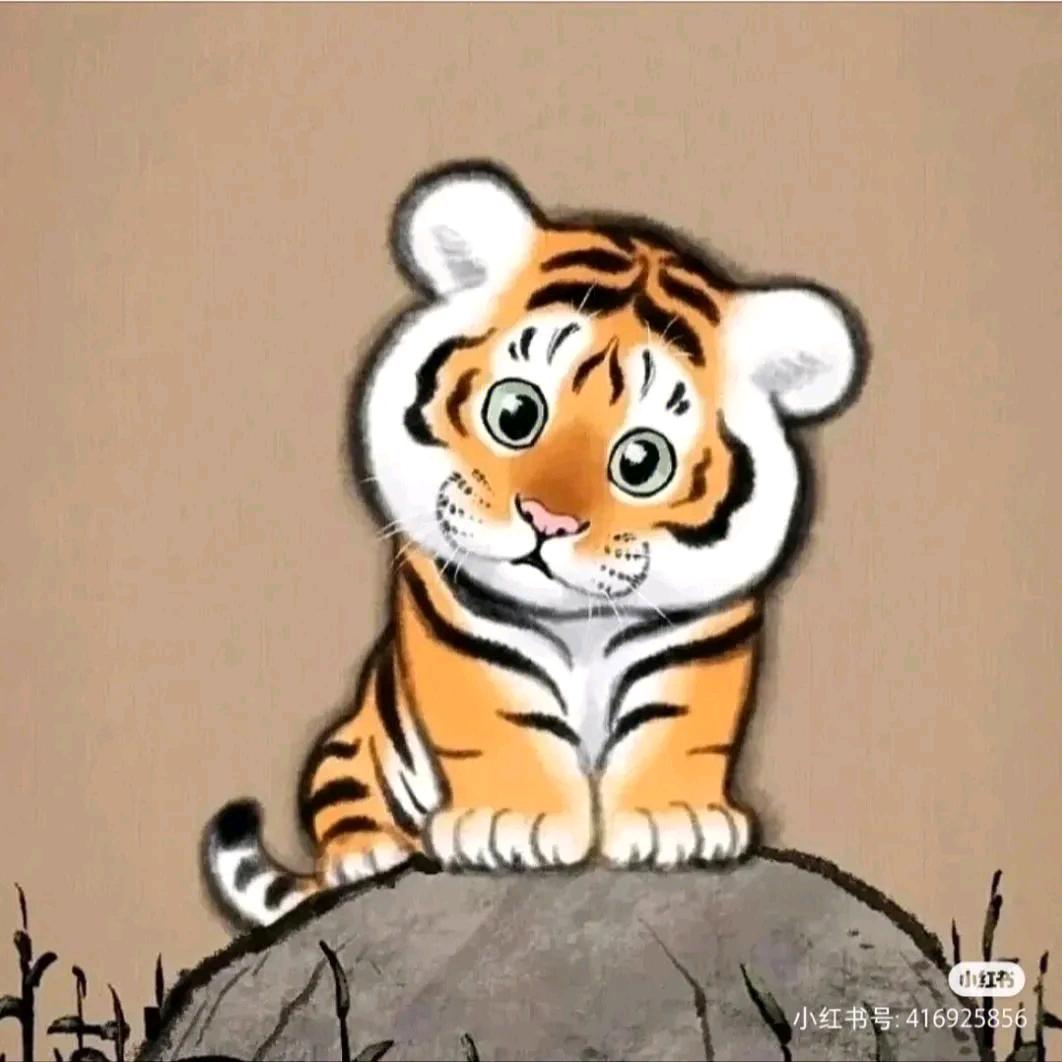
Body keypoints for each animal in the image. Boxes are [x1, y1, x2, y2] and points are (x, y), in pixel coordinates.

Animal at [203, 161, 866, 928]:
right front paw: (511, 825)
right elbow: (504, 722)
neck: (578, 625)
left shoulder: (702, 642)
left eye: (642, 462)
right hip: (346, 748)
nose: (548, 521)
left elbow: (675, 724)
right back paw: (365, 857)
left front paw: (675, 821)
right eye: (515, 413)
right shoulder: (464, 635)